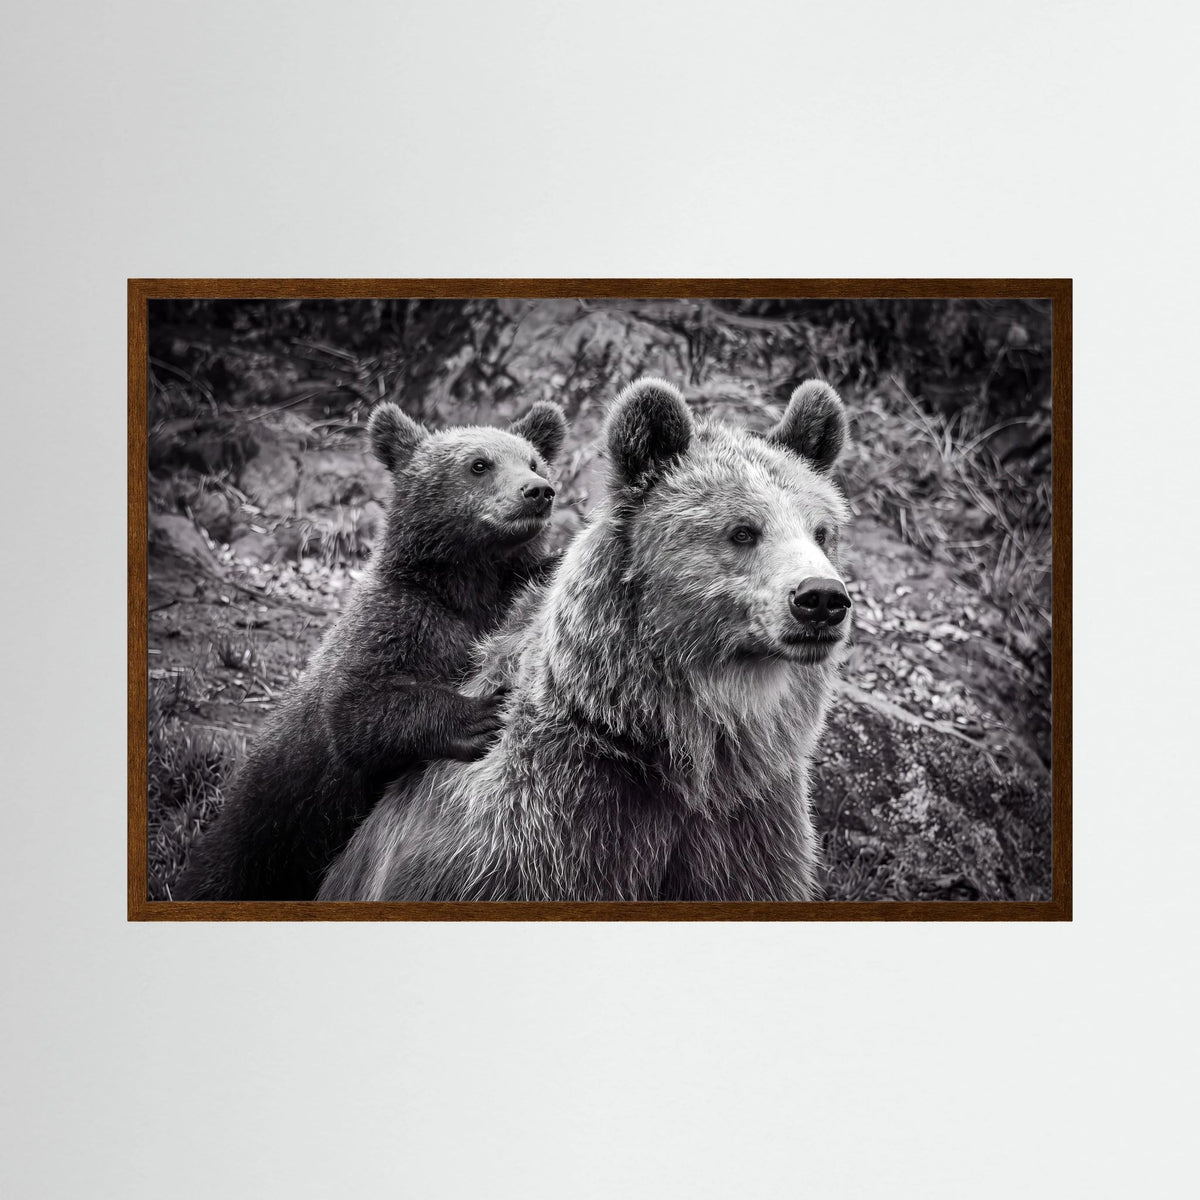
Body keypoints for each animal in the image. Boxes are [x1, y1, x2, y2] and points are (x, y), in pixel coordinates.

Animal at [173, 397, 569, 901]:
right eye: (480, 464)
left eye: (533, 460)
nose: (538, 491)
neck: (467, 585)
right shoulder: (398, 622)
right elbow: (356, 710)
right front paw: (480, 714)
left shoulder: (500, 599)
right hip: (266, 830)